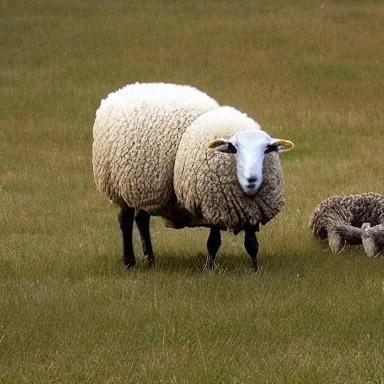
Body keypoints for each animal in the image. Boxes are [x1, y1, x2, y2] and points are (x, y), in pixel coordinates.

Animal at [93, 82, 294, 270]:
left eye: (267, 149)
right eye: (234, 148)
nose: (252, 179)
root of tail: (122, 90)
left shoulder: (251, 211)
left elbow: (252, 244)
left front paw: (254, 269)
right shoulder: (213, 205)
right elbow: (213, 243)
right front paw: (210, 269)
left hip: (145, 188)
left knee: (142, 219)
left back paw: (150, 260)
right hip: (117, 186)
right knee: (125, 220)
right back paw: (129, 261)